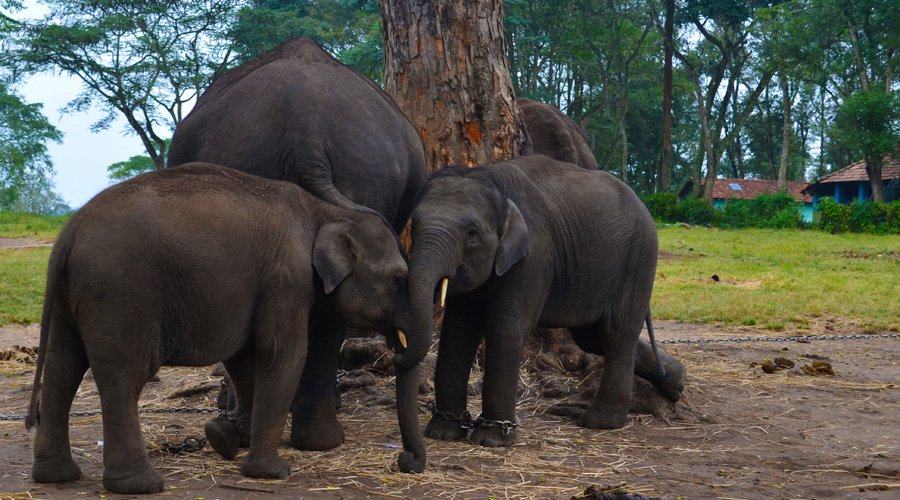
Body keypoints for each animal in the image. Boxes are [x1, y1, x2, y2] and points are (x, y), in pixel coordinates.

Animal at [26, 163, 422, 492]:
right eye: (398, 279)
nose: (407, 462)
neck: (325, 211)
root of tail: (66, 237)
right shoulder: (286, 277)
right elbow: (281, 353)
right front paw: (272, 472)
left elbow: (244, 358)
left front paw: (224, 438)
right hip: (120, 295)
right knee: (123, 378)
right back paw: (140, 485)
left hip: (69, 300)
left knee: (62, 370)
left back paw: (56, 476)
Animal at [402, 154, 660, 448]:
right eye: (414, 226)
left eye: (472, 234)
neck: (490, 180)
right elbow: (458, 331)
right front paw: (442, 432)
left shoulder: (534, 257)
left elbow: (506, 328)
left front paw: (492, 439)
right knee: (593, 338)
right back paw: (675, 381)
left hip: (639, 259)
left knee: (616, 335)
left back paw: (600, 422)